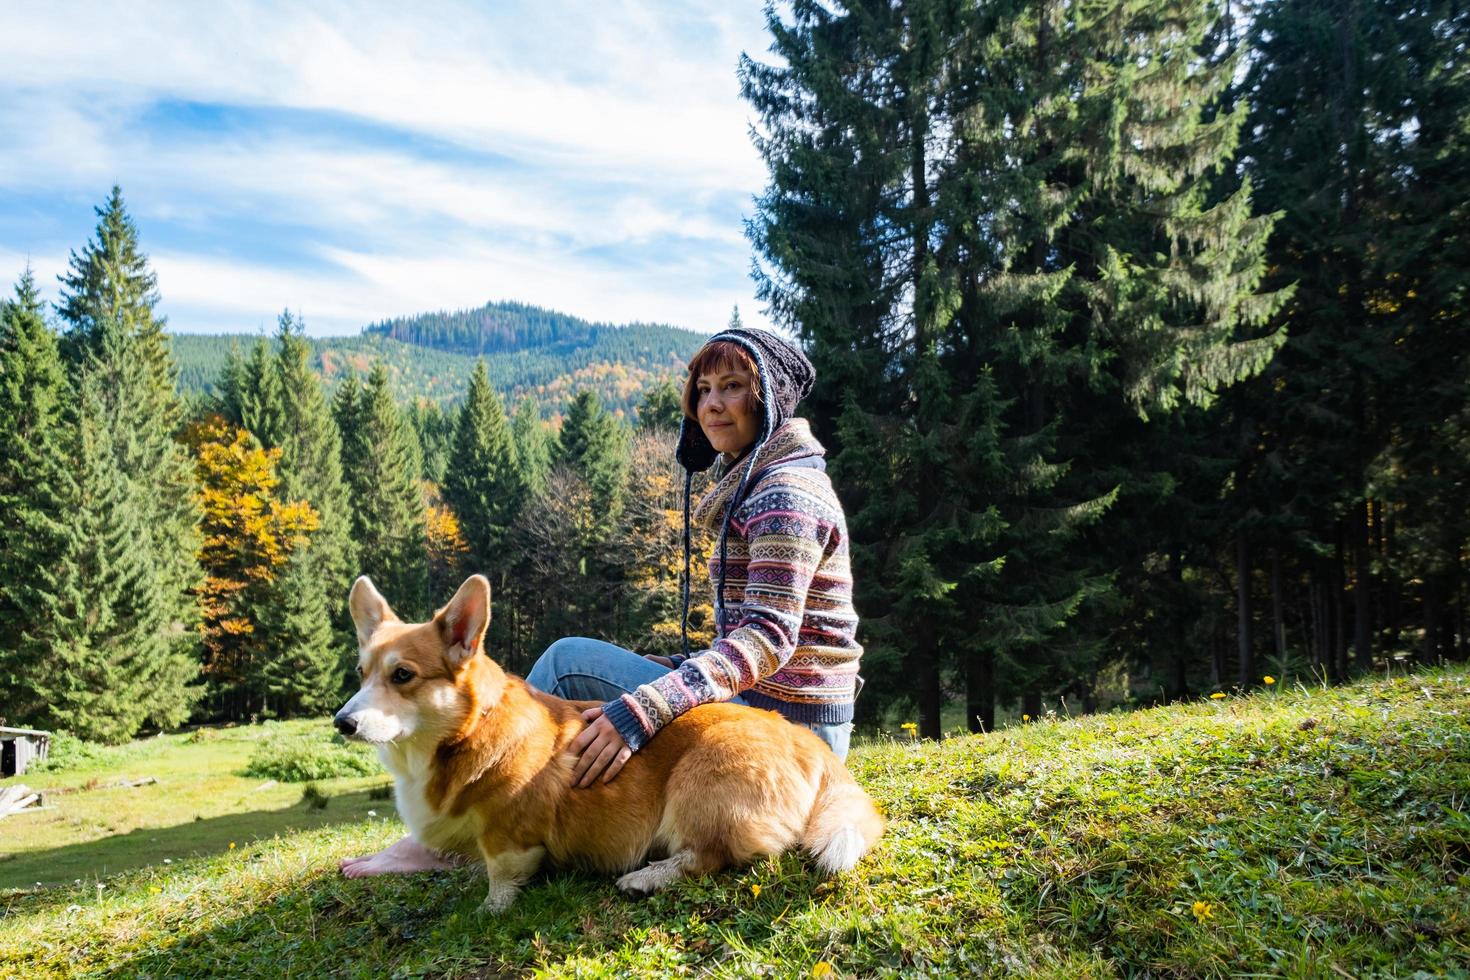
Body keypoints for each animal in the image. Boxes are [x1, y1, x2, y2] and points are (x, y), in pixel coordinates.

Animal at [333, 575, 882, 910]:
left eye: (403, 675)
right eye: (361, 674)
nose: (342, 723)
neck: (464, 735)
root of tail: (811, 747)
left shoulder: (508, 836)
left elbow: (502, 874)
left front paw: (490, 907)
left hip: (701, 781)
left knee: (709, 856)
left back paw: (647, 877)